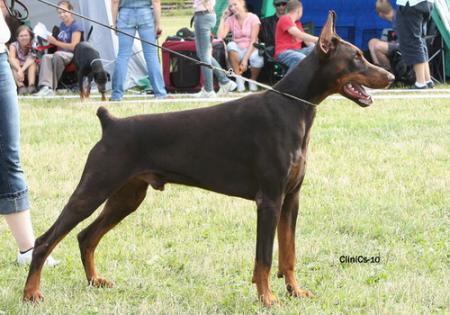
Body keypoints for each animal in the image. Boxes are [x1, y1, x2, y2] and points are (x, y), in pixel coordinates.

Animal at [23, 11, 394, 306]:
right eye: (356, 57)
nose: (390, 77)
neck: (293, 107)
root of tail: (110, 122)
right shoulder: (269, 199)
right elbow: (264, 256)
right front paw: (267, 298)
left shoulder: (292, 198)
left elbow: (288, 253)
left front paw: (295, 291)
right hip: (94, 188)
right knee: (45, 240)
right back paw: (32, 293)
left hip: (127, 196)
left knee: (86, 236)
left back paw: (94, 281)